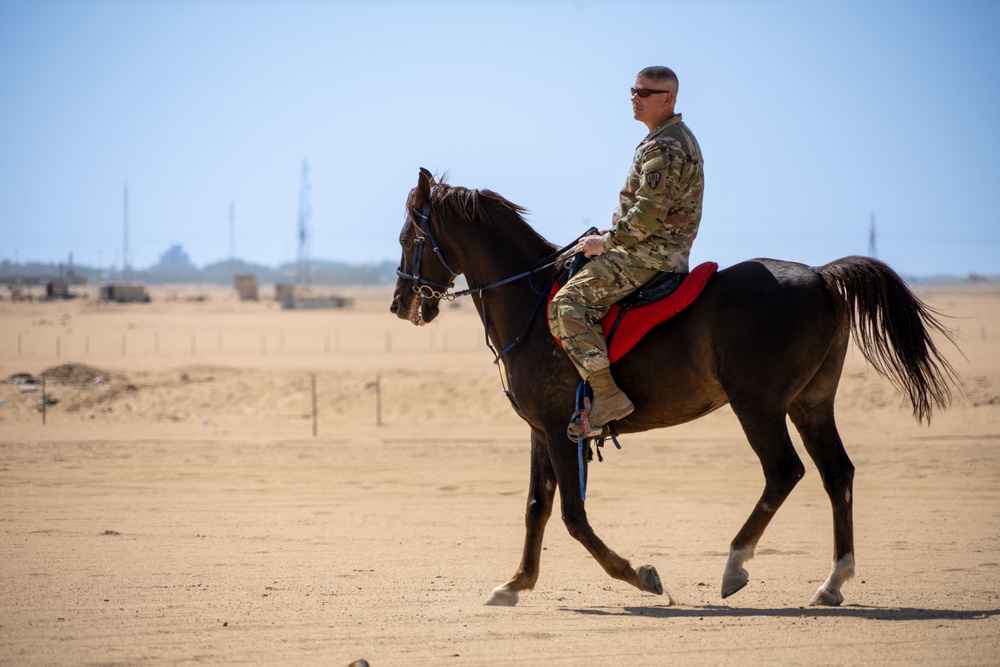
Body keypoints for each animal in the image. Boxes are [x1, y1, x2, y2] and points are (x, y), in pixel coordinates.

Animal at [386, 166, 956, 604]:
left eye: (409, 239)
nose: (399, 303)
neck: (531, 301)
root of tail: (820, 274)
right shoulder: (541, 430)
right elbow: (536, 508)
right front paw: (515, 584)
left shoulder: (560, 430)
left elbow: (572, 515)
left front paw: (639, 574)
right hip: (810, 403)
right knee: (837, 473)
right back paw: (832, 582)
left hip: (759, 406)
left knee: (784, 472)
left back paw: (735, 565)